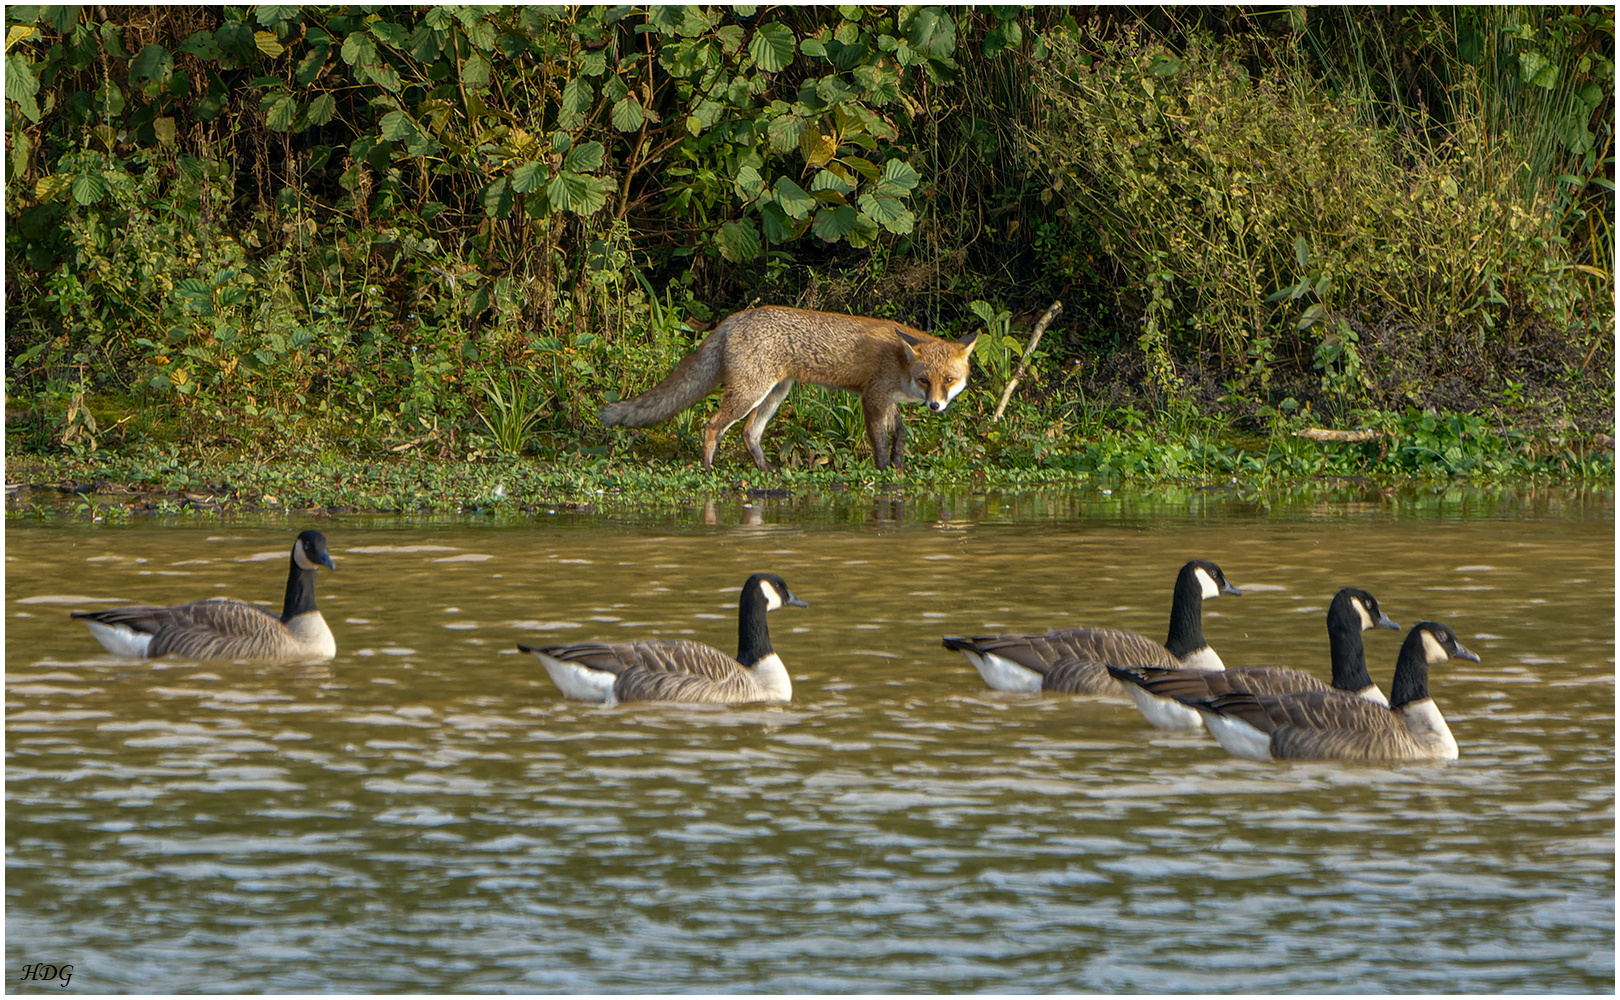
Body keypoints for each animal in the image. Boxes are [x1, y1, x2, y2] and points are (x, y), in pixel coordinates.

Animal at [596, 304, 972, 473]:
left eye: (948, 380)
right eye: (925, 380)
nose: (935, 406)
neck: (899, 362)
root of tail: (733, 319)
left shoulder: (886, 399)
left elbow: (901, 433)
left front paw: (898, 464)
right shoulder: (873, 398)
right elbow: (879, 442)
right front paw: (883, 473)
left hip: (775, 394)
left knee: (749, 432)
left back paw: (765, 470)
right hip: (751, 393)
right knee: (713, 425)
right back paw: (708, 469)